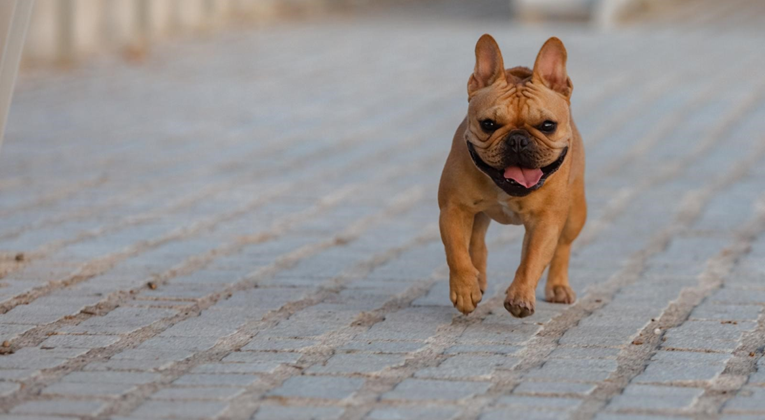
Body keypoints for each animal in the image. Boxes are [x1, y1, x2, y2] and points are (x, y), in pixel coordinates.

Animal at [436, 35, 584, 318]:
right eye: (488, 124)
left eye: (548, 126)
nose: (517, 140)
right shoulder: (454, 210)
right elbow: (457, 252)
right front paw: (465, 289)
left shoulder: (545, 222)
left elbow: (532, 260)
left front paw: (520, 297)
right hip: (478, 215)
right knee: (476, 243)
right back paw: (478, 279)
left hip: (575, 214)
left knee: (562, 248)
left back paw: (558, 286)